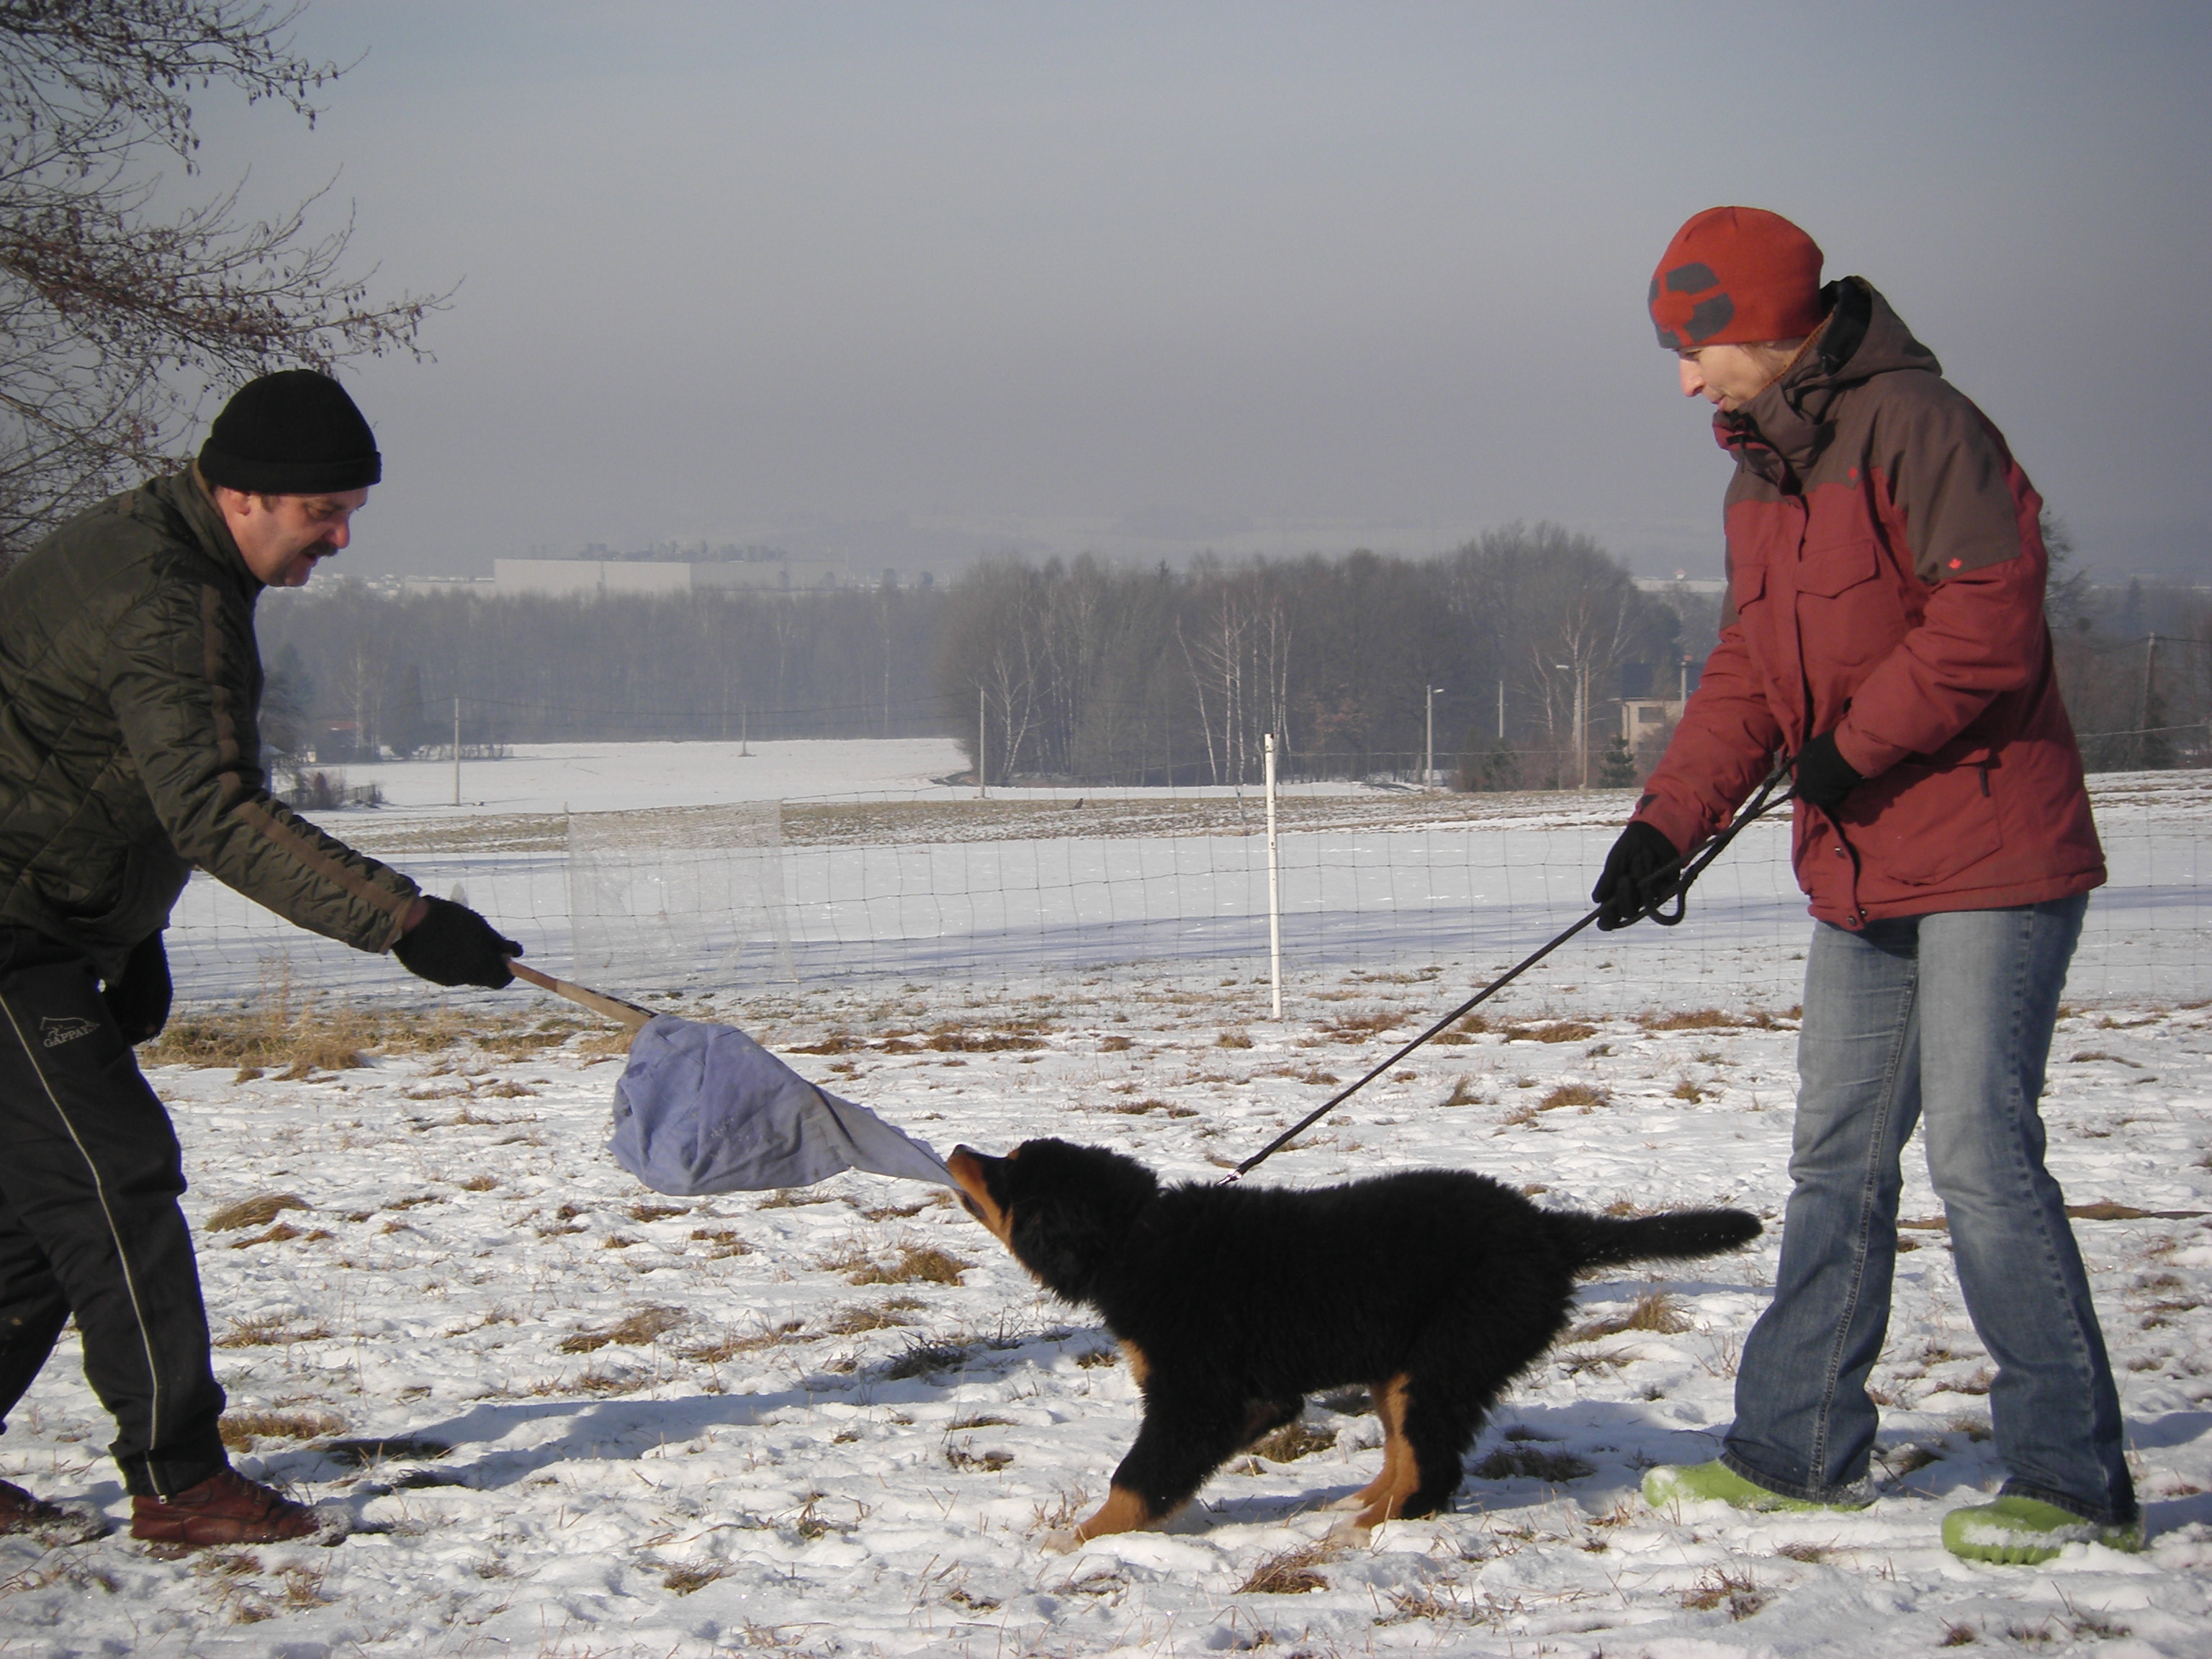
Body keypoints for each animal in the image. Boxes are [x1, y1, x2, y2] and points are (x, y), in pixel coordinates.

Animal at [950, 1141, 1761, 1557]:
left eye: (1009, 1169)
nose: (958, 1149)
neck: (1136, 1237)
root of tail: (1547, 1231)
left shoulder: (1200, 1397)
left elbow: (1137, 1477)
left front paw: (1075, 1541)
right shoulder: (1254, 1399)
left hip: (1447, 1358)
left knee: (1431, 1469)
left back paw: (1357, 1533)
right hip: (1401, 1364)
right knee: (1405, 1452)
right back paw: (1356, 1506)